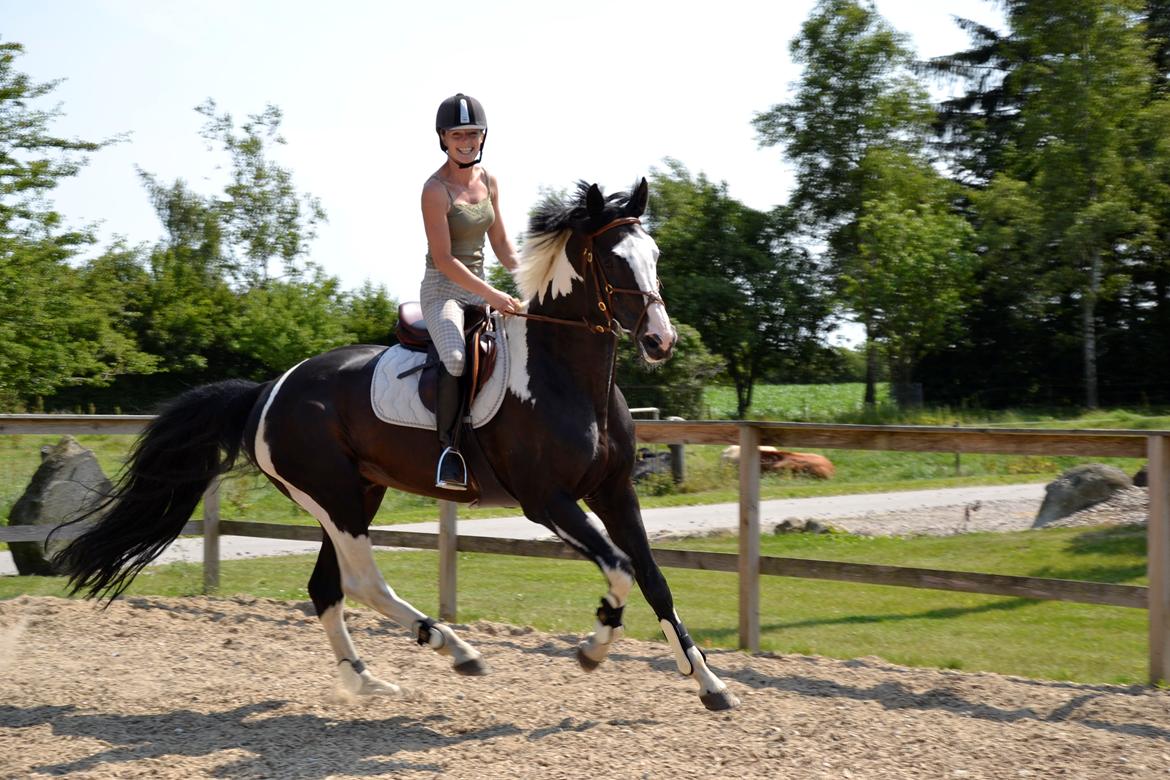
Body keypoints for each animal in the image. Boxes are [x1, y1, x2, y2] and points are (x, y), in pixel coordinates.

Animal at [52, 178, 739, 715]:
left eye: (654, 254)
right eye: (615, 261)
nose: (660, 341)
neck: (564, 374)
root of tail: (269, 389)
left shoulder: (614, 491)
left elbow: (653, 577)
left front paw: (709, 682)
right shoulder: (548, 501)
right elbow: (618, 569)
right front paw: (593, 649)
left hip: (359, 492)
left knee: (326, 587)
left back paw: (368, 682)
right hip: (334, 497)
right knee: (361, 582)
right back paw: (455, 650)